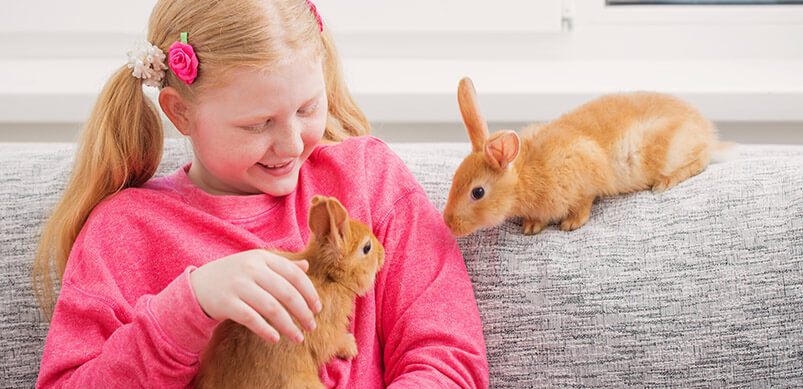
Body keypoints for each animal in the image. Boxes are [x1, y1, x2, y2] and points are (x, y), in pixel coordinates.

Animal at [193, 196, 384, 386]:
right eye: (367, 247)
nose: (382, 253)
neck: (328, 276)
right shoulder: (327, 330)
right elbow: (333, 344)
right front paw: (350, 346)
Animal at [442, 75, 724, 233]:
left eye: (478, 192)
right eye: (454, 179)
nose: (448, 223)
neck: (524, 176)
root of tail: (703, 129)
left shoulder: (583, 172)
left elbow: (584, 202)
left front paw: (571, 224)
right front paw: (532, 226)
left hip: (668, 152)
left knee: (701, 159)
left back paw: (664, 182)